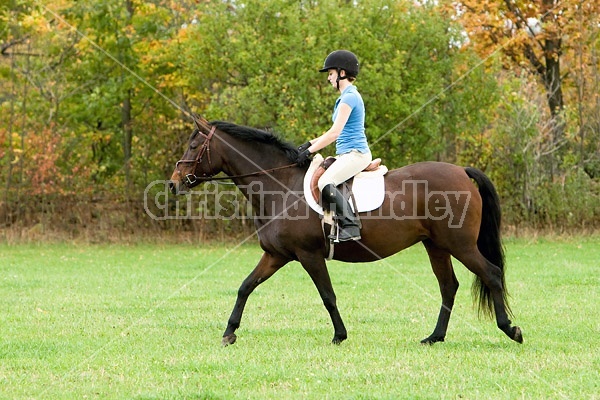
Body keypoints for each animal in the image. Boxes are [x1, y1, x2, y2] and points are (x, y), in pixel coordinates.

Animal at [168, 116, 520, 346]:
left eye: (194, 145)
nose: (173, 184)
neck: (280, 185)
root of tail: (461, 171)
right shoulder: (276, 255)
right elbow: (245, 287)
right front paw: (229, 333)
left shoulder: (308, 255)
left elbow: (327, 295)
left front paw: (339, 335)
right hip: (436, 245)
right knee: (449, 286)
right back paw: (435, 337)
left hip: (460, 244)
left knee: (490, 274)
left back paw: (510, 330)